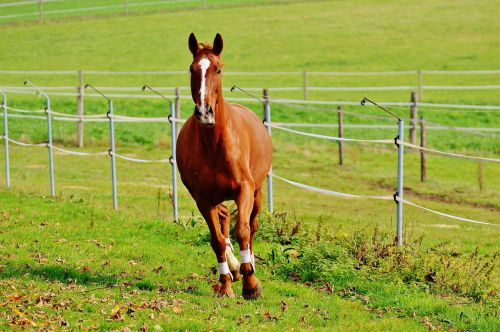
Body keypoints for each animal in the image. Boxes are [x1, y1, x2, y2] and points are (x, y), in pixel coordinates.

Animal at [174, 32, 272, 300]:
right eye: (192, 69)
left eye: (217, 69)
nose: (205, 112)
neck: (215, 145)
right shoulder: (203, 198)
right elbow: (217, 239)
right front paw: (225, 283)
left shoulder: (244, 189)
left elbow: (243, 231)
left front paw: (251, 284)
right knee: (225, 217)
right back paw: (235, 269)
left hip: (257, 192)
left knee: (252, 225)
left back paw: (248, 266)